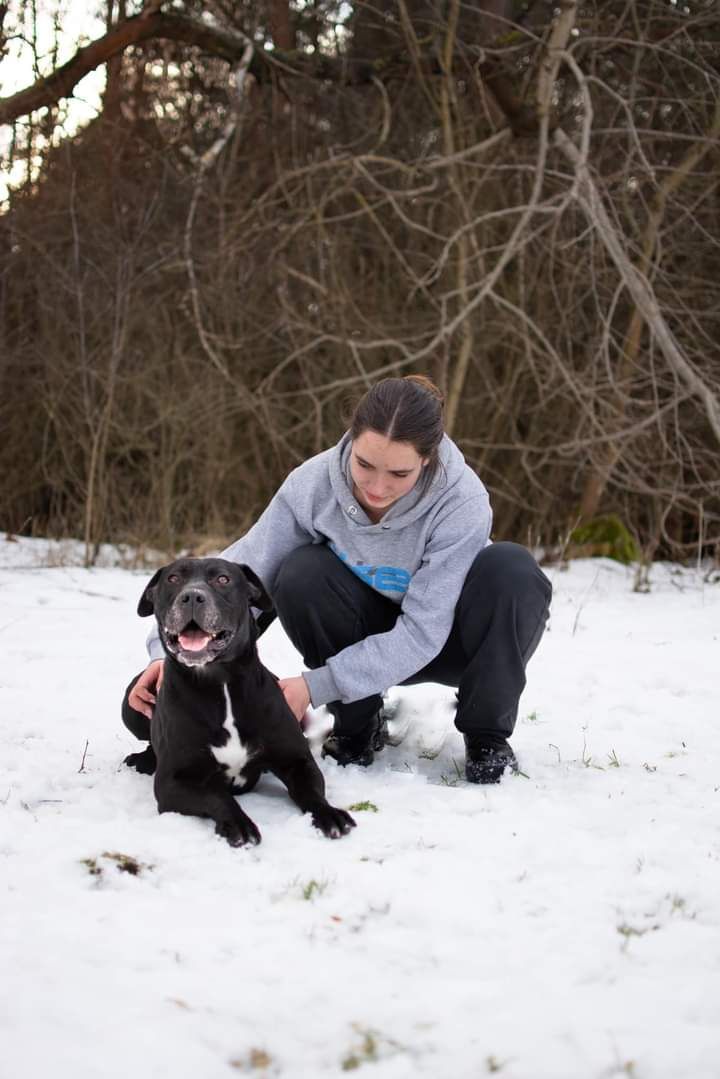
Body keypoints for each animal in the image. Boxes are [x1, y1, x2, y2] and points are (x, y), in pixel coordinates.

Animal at [121, 561, 358, 845]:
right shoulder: (174, 782)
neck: (220, 682)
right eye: (173, 578)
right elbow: (217, 795)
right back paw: (143, 759)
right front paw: (239, 824)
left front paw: (329, 814)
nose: (192, 596)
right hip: (131, 702)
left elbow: (312, 792)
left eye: (223, 579)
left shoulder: (297, 761)